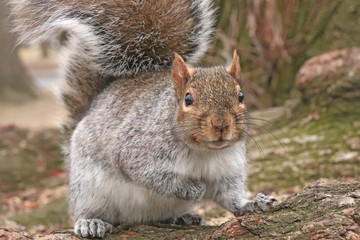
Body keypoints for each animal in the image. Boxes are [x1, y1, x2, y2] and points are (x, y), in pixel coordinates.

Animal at [10, 0, 276, 238]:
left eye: (240, 96)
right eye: (188, 99)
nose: (221, 125)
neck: (203, 151)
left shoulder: (226, 170)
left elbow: (230, 197)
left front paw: (253, 203)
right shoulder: (137, 152)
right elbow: (152, 177)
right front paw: (191, 188)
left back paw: (185, 217)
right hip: (87, 187)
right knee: (82, 210)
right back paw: (90, 222)